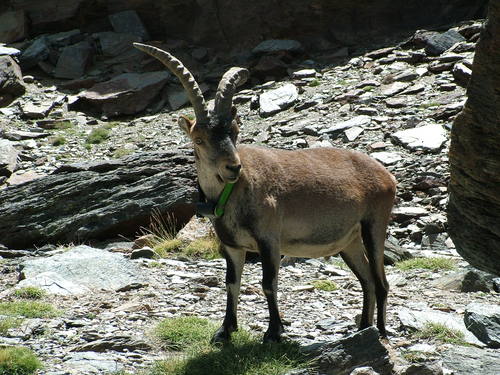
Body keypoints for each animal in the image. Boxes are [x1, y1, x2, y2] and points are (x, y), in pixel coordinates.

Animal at [134, 43, 398, 344]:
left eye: (235, 131)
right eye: (198, 139)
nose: (233, 167)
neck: (233, 193)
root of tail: (386, 175)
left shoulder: (269, 240)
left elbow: (268, 283)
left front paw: (273, 332)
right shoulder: (232, 246)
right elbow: (231, 283)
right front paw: (225, 330)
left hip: (374, 225)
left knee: (381, 281)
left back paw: (381, 332)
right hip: (350, 241)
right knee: (366, 279)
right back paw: (363, 328)